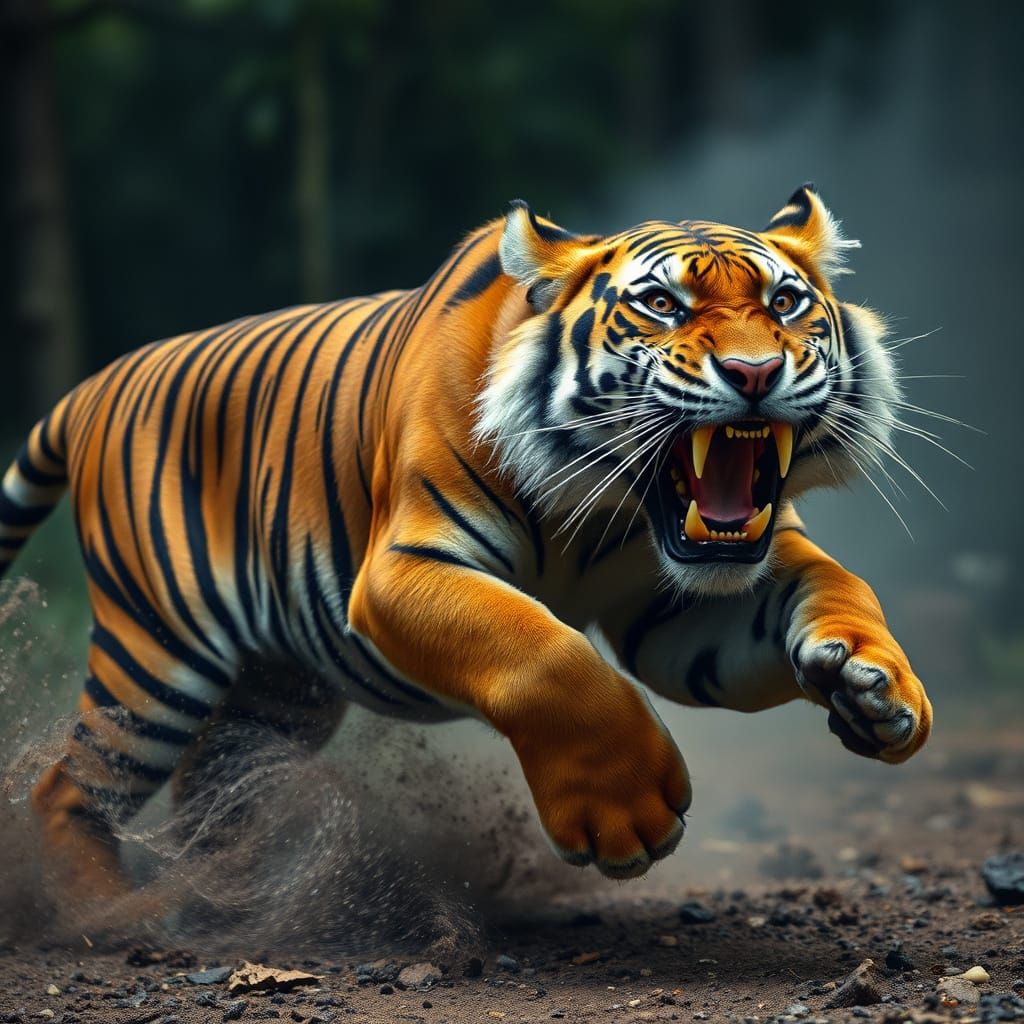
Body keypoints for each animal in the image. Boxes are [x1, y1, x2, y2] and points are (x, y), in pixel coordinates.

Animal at [2, 184, 931, 897]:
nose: (754, 373)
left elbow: (839, 586)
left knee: (214, 792)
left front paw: (875, 688)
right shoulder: (401, 570)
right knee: (67, 788)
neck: (598, 504)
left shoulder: (678, 618)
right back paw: (111, 918)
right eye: (662, 305)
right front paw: (627, 812)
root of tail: (97, 383)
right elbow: (540, 649)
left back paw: (249, 895)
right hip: (157, 657)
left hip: (278, 689)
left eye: (785, 304)